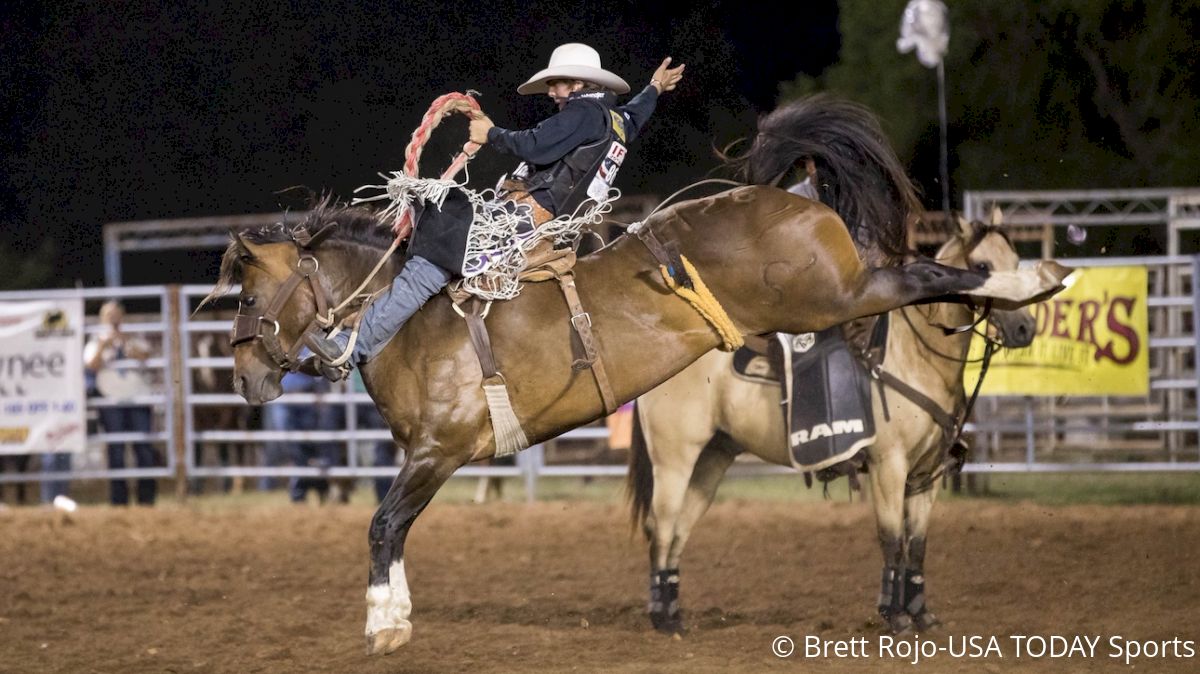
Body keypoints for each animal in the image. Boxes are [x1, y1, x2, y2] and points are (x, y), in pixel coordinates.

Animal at [628, 213, 1032, 633]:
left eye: (1017, 261)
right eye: (982, 267)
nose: (1025, 329)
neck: (914, 355)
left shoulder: (926, 475)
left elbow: (917, 545)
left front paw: (922, 614)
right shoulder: (889, 467)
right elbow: (892, 539)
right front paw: (896, 616)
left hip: (713, 457)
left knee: (679, 529)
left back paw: (675, 614)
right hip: (674, 460)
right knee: (661, 525)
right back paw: (662, 618)